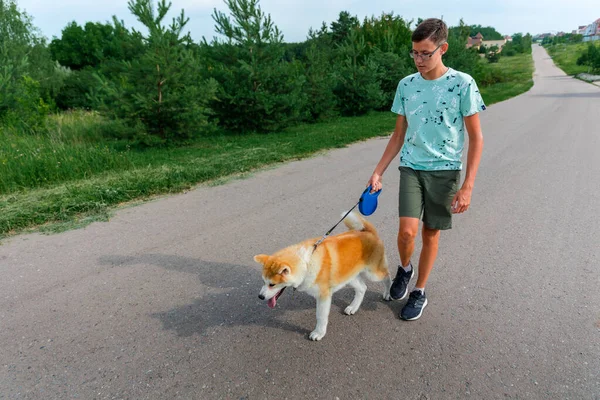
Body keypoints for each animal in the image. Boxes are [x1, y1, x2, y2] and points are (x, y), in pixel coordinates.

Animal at [254, 212, 392, 340]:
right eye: (263, 281)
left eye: (272, 284)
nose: (260, 297)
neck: (307, 263)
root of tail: (369, 232)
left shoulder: (323, 295)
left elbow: (321, 316)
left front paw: (319, 333)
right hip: (348, 277)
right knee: (362, 288)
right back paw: (353, 307)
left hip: (373, 273)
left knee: (387, 276)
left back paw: (389, 293)